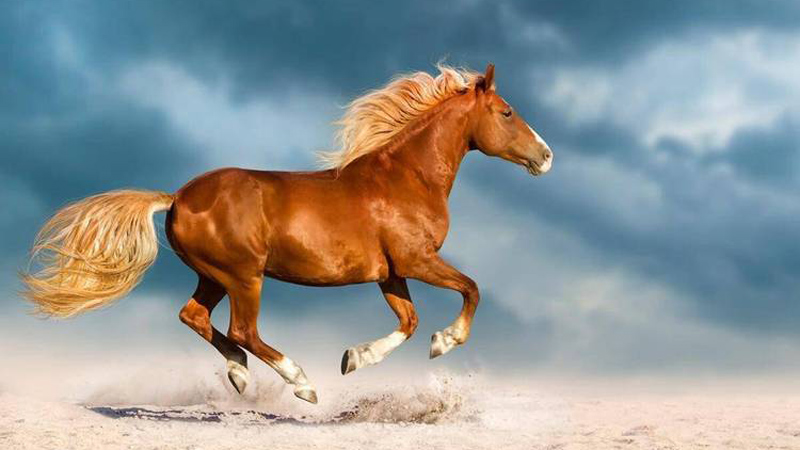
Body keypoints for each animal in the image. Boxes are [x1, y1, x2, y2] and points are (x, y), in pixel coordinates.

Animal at [21, 64, 553, 404]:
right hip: (244, 276)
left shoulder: (390, 273)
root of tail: (177, 197)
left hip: (214, 276)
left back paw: (239, 374)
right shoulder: (416, 260)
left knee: (195, 316)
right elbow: (471, 290)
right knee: (243, 330)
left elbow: (409, 321)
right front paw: (445, 342)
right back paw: (301, 383)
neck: (406, 177)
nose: (545, 156)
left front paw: (354, 358)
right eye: (507, 112)